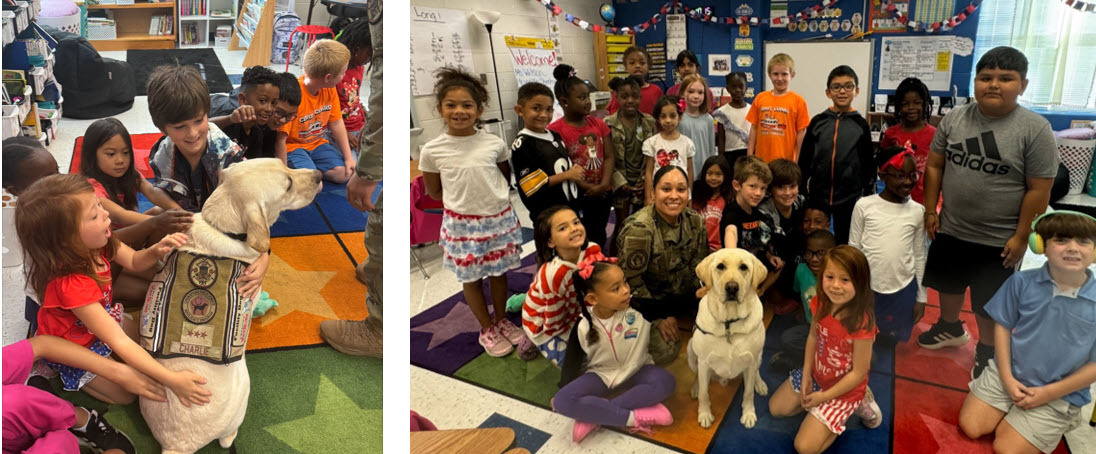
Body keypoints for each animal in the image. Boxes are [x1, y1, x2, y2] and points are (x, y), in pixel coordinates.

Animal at [139, 157, 322, 451]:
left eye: (285, 165)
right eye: (288, 185)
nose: (318, 175)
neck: (220, 226)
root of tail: (176, 445)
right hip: (244, 386)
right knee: (227, 439)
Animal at [688, 247, 767, 429]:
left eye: (744, 267)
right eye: (720, 266)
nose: (732, 287)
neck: (729, 324)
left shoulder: (751, 360)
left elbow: (748, 392)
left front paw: (748, 414)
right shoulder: (704, 362)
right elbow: (704, 393)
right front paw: (704, 414)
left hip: (759, 354)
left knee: (757, 371)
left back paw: (760, 383)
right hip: (690, 350)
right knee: (697, 375)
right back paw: (695, 387)